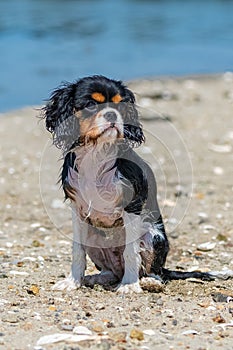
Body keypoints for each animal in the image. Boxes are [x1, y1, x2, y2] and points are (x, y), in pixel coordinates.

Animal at [43, 74, 233, 292]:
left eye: (120, 105)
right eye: (91, 104)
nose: (112, 115)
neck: (97, 153)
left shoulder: (131, 206)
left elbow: (130, 251)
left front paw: (129, 285)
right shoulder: (78, 210)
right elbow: (77, 250)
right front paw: (73, 282)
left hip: (152, 236)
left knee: (156, 272)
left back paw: (149, 281)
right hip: (94, 239)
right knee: (109, 272)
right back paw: (96, 278)